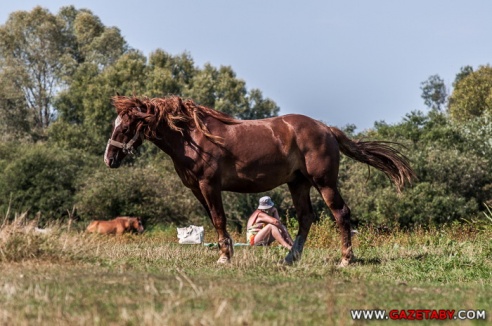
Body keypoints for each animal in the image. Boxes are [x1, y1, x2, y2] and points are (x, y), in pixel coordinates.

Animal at [104, 95, 416, 266]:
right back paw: (291, 258)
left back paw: (345, 259)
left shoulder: (209, 185)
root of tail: (326, 129)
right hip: (298, 183)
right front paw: (226, 251)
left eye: (127, 127)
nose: (109, 159)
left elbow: (219, 218)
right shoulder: (196, 189)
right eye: (115, 125)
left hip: (323, 182)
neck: (192, 137)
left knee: (341, 213)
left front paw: (224, 257)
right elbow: (215, 220)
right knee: (306, 217)